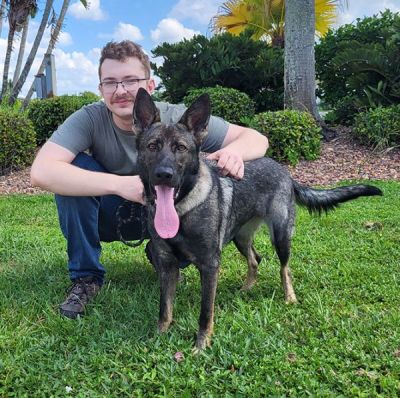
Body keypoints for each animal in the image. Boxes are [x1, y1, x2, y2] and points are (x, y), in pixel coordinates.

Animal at [131, 87, 382, 352]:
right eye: (152, 146)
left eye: (180, 147)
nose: (164, 175)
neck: (181, 210)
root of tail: (286, 172)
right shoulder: (167, 265)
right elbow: (165, 309)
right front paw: (158, 337)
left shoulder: (210, 265)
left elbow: (205, 312)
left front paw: (201, 345)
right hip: (240, 237)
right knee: (255, 259)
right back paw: (246, 288)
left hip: (281, 236)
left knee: (284, 268)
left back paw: (289, 297)